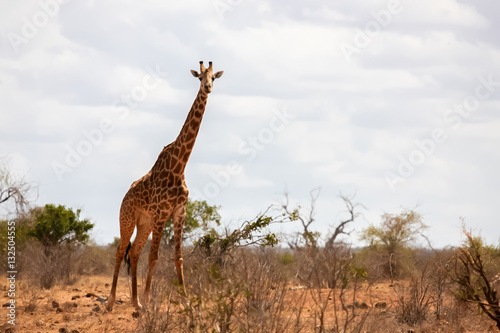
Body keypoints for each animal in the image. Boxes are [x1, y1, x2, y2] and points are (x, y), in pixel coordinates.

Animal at [107, 60, 225, 308]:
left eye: (214, 77)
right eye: (200, 77)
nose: (208, 88)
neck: (179, 166)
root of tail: (125, 196)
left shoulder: (179, 212)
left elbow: (178, 257)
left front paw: (186, 301)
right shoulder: (162, 213)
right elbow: (154, 257)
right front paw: (149, 299)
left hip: (145, 223)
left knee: (134, 252)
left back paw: (135, 303)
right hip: (128, 218)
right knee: (120, 250)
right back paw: (112, 301)